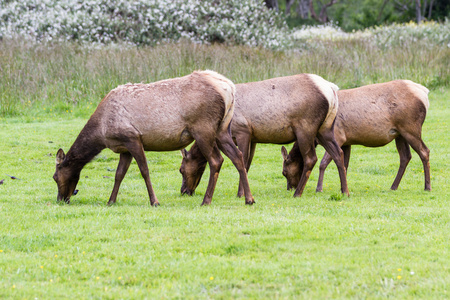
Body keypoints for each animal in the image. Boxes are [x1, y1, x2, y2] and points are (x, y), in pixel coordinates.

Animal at [52, 70, 253, 206]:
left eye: (55, 176)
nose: (61, 199)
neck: (101, 132)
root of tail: (229, 88)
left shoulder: (132, 137)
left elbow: (144, 170)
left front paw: (154, 201)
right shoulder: (124, 147)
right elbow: (119, 174)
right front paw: (111, 201)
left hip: (203, 128)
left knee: (216, 160)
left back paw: (206, 200)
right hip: (222, 129)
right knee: (237, 156)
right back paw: (249, 199)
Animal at [178, 74, 350, 198]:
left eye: (181, 169)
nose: (184, 191)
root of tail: (331, 89)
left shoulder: (243, 131)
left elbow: (242, 161)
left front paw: (240, 194)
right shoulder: (254, 138)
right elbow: (247, 164)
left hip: (305, 127)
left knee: (311, 159)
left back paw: (297, 193)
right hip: (325, 128)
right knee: (338, 153)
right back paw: (344, 191)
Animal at [282, 79, 432, 191]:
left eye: (284, 172)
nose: (290, 188)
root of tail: (424, 92)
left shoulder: (338, 136)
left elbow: (323, 163)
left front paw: (319, 188)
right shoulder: (347, 141)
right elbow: (345, 164)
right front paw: (343, 188)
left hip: (410, 128)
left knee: (424, 151)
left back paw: (427, 187)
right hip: (400, 134)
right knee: (405, 156)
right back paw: (393, 186)